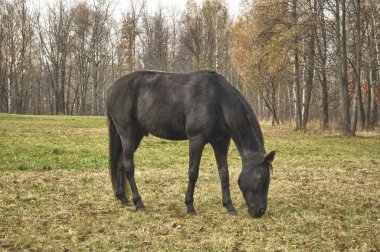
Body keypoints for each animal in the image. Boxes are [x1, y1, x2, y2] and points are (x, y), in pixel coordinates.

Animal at [107, 70, 276, 218]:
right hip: (128, 135)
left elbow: (224, 174)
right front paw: (190, 206)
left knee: (120, 163)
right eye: (262, 178)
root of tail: (113, 88)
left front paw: (229, 206)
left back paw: (123, 199)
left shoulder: (221, 142)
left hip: (136, 136)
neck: (217, 99)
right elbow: (193, 173)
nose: (260, 211)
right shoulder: (196, 139)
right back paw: (139, 203)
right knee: (129, 167)